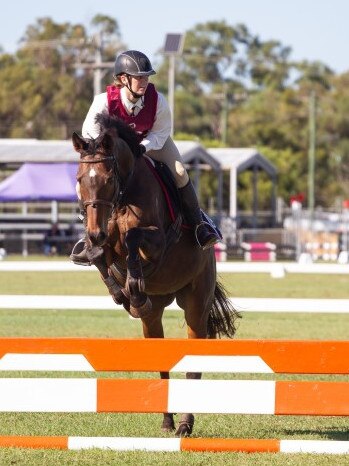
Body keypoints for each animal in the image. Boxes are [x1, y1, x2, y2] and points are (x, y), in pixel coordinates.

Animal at [70, 114, 239, 436]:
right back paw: (167, 420)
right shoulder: (104, 243)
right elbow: (99, 256)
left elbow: (133, 237)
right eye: (80, 179)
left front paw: (134, 286)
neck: (123, 196)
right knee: (160, 353)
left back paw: (185, 423)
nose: (95, 232)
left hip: (196, 303)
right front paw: (122, 292)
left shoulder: (157, 242)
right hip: (155, 315)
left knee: (194, 360)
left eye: (108, 180)